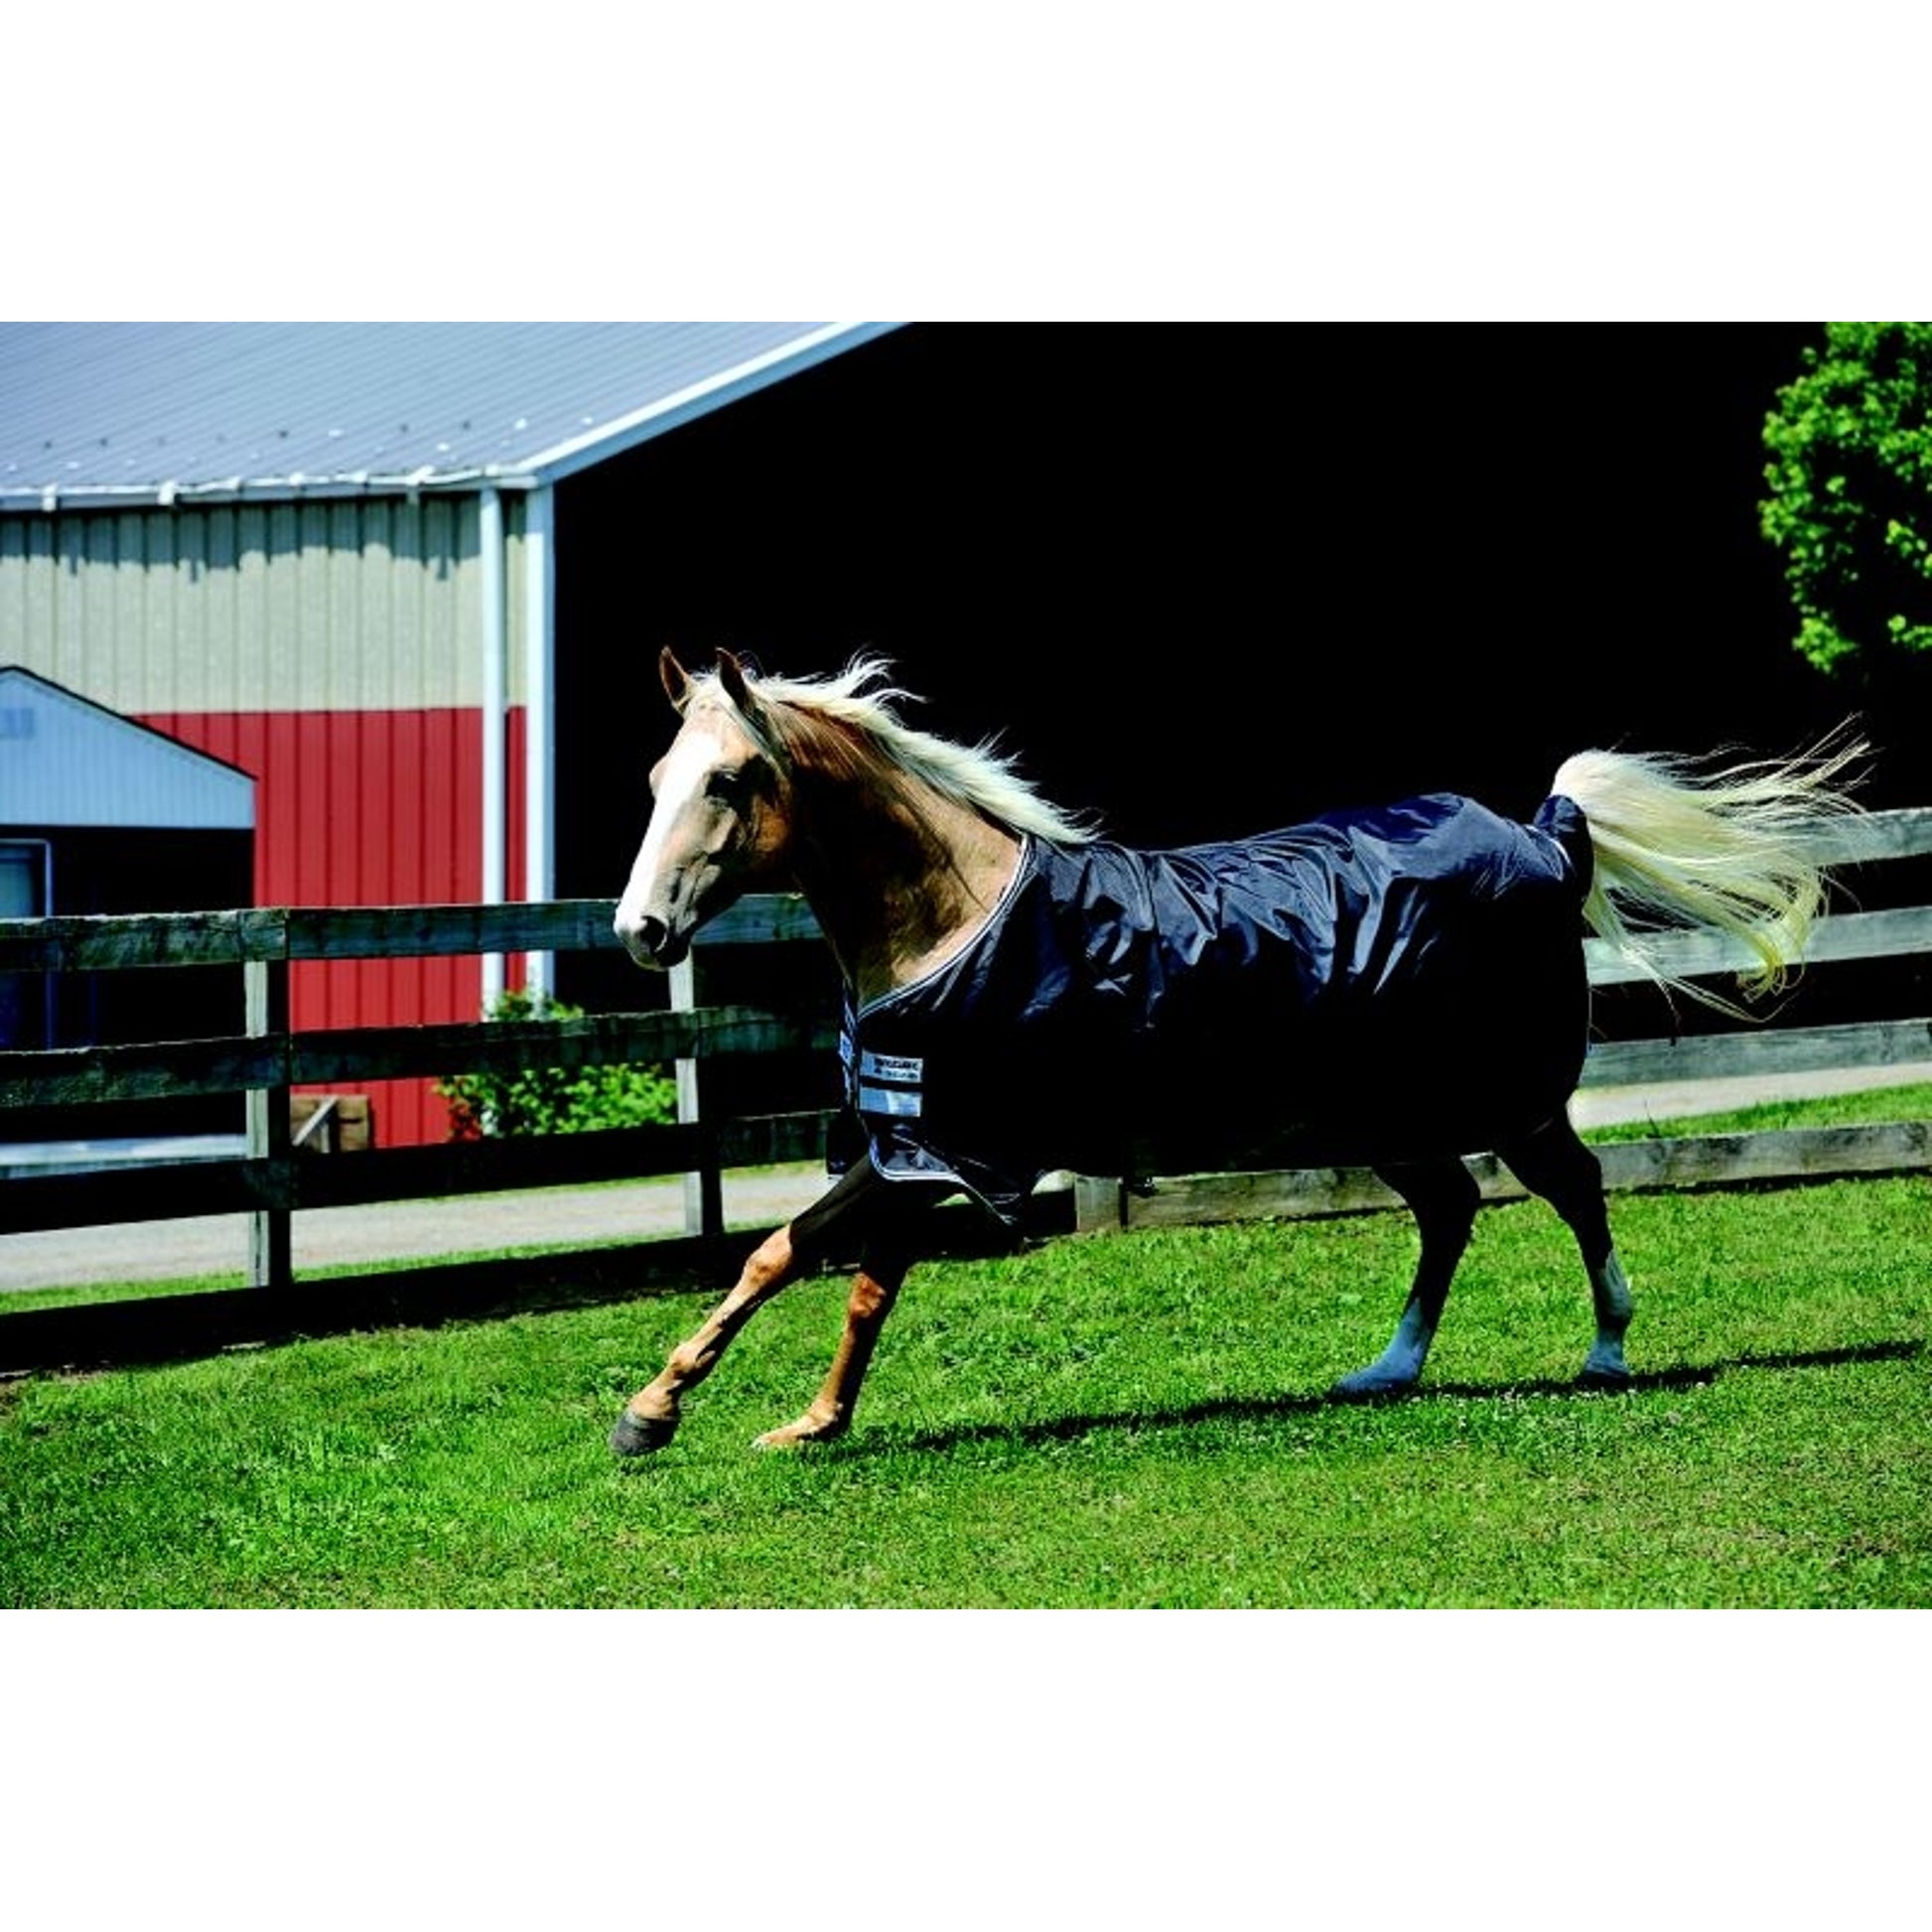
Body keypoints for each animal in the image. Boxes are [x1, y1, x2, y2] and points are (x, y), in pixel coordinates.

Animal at [608, 648, 1865, 1455]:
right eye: (657, 779)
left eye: (728, 778)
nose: (639, 931)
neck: (955, 916)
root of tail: (1548, 832)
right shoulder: (919, 1144)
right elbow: (844, 1277)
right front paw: (800, 1421)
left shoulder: (939, 1150)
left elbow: (785, 1253)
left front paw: (653, 1414)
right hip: (1385, 1118)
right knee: (1450, 1209)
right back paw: (1386, 1368)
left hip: (1504, 1099)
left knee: (1574, 1187)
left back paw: (1605, 1349)